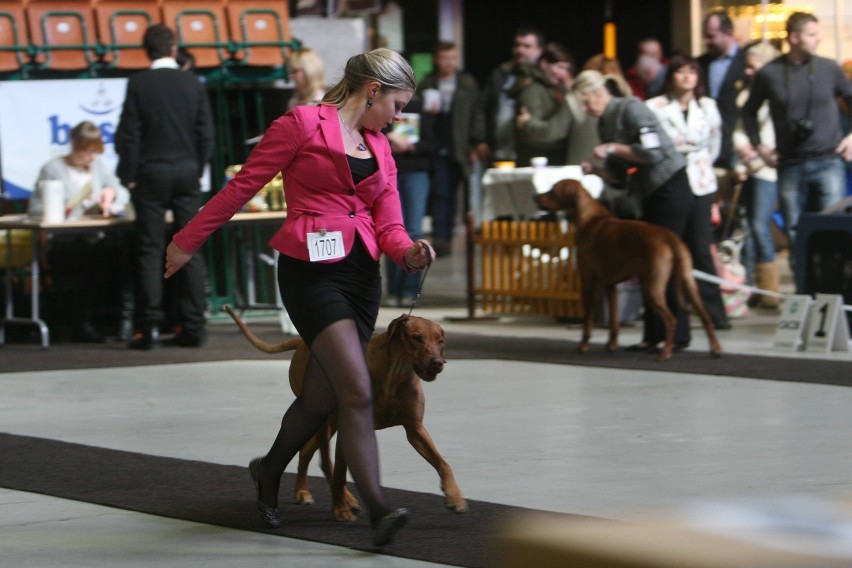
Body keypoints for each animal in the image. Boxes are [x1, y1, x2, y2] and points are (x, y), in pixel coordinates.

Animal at [223, 306, 470, 520]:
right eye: (416, 337)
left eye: (440, 341)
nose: (437, 362)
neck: (396, 372)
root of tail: (303, 343)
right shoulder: (350, 427)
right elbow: (340, 472)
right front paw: (340, 509)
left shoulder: (414, 428)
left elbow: (443, 463)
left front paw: (454, 497)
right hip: (321, 416)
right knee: (325, 461)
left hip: (330, 423)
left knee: (306, 451)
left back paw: (304, 491)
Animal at [536, 180, 724, 362]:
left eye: (552, 190)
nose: (535, 197)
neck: (590, 219)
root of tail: (669, 237)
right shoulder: (610, 285)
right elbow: (613, 320)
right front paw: (612, 345)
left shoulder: (588, 282)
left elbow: (588, 321)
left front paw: (582, 346)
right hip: (688, 282)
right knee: (705, 316)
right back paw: (715, 349)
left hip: (652, 288)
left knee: (671, 319)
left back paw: (665, 353)